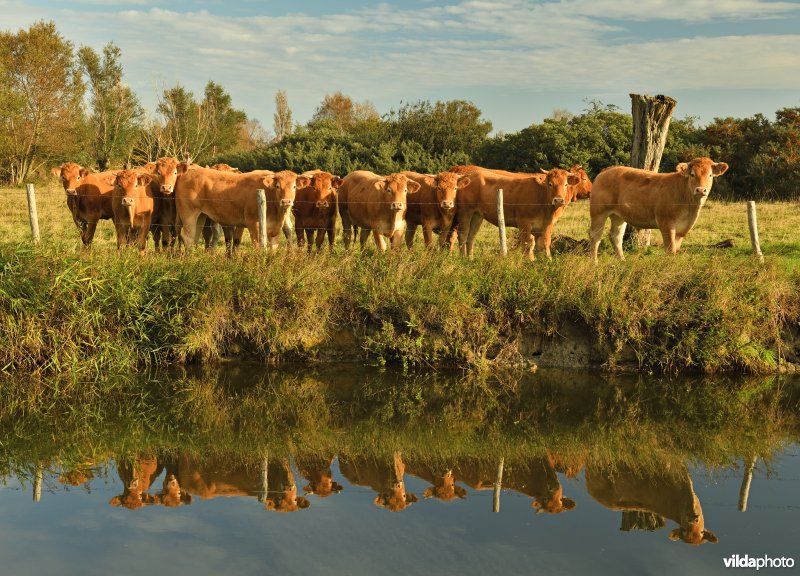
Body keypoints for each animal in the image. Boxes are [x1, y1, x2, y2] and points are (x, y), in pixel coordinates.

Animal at [175, 164, 310, 250]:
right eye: (277, 186)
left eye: (294, 186)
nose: (286, 201)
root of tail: (190, 169)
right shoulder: (254, 225)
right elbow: (258, 248)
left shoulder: (274, 231)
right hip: (188, 214)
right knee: (188, 237)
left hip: (201, 216)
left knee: (194, 237)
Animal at [592, 155, 728, 258]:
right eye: (692, 174)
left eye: (710, 175)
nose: (700, 190)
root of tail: (607, 169)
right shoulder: (666, 223)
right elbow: (670, 250)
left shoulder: (682, 229)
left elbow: (676, 249)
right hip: (598, 212)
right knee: (595, 236)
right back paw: (594, 263)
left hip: (618, 215)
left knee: (616, 236)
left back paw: (622, 260)